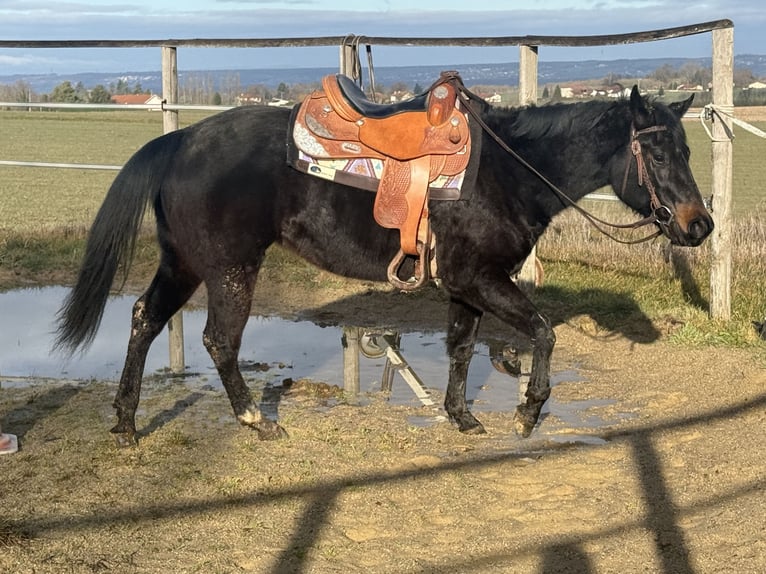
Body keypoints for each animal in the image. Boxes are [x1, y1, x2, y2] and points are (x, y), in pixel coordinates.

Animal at [54, 80, 713, 447]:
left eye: (687, 147)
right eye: (657, 153)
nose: (698, 225)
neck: (508, 172)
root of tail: (179, 141)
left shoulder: (464, 287)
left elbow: (460, 348)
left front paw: (461, 416)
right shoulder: (482, 279)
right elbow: (544, 333)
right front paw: (527, 412)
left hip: (184, 263)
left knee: (143, 318)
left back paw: (126, 423)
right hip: (229, 269)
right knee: (219, 339)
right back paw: (254, 419)